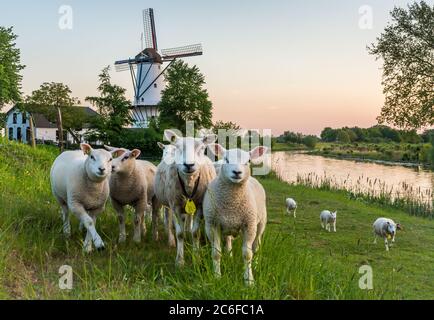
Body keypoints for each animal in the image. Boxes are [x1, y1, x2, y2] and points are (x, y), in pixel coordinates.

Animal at [154, 129, 219, 264]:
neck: (189, 183)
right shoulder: (176, 206)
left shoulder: (199, 206)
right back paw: (171, 240)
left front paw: (197, 256)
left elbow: (196, 233)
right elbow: (179, 234)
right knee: (168, 221)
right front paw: (179, 261)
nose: (189, 165)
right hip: (167, 203)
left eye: (202, 148)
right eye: (178, 147)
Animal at [203, 144, 268, 284]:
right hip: (227, 224)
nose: (237, 172)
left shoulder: (249, 225)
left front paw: (249, 280)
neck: (231, 205)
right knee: (228, 240)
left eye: (248, 161)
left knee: (256, 246)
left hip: (260, 223)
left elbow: (247, 254)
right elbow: (216, 253)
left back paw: (255, 264)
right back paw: (229, 256)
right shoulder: (212, 224)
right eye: (226, 159)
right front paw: (217, 276)